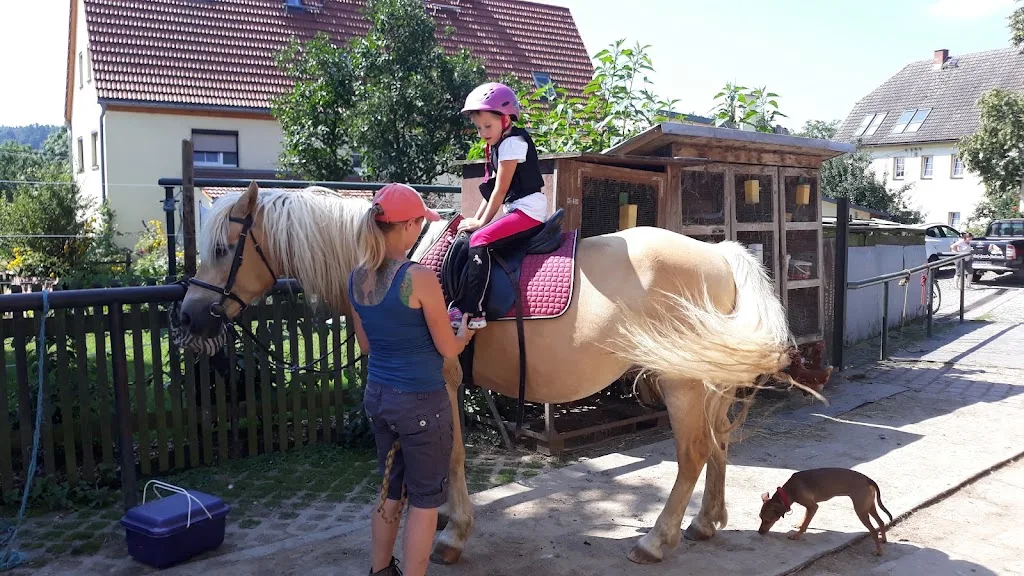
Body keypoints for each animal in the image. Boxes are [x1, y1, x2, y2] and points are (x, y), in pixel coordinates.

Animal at [174, 182, 807, 565]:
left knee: (694, 453)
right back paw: (705, 524)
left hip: (681, 383)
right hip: (709, 381)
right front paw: (445, 522)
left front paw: (453, 534)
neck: (399, 262)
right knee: (718, 446)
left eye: (224, 247)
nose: (187, 315)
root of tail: (718, 253)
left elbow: (452, 454)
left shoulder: (443, 381)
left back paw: (656, 540)